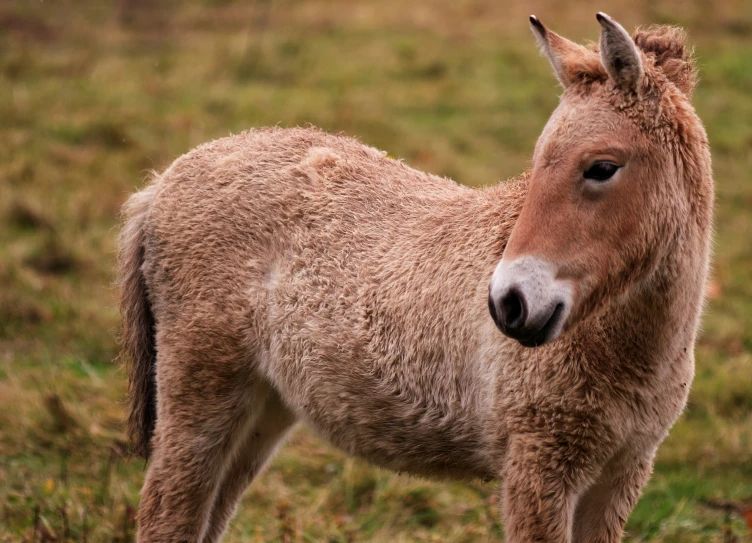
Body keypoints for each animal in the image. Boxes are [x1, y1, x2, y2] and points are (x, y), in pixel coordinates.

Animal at [117, 12, 712, 543]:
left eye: (602, 168)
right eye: (538, 161)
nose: (509, 304)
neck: (627, 348)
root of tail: (163, 181)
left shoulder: (620, 474)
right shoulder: (537, 469)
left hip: (262, 408)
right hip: (201, 393)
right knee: (165, 515)